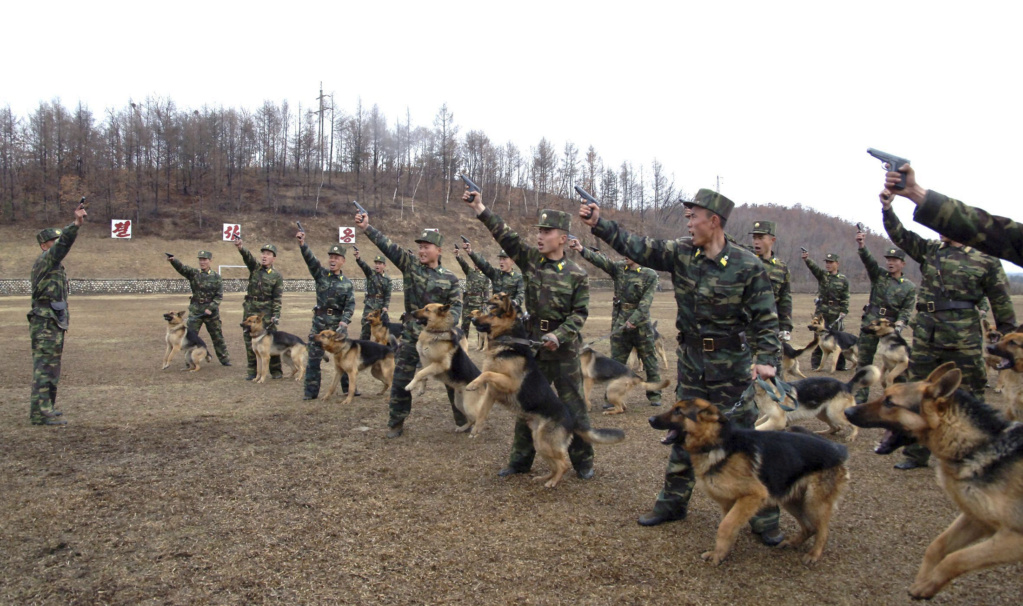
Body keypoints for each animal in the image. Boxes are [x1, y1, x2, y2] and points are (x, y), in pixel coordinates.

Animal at [466, 292, 621, 487]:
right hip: (539, 443)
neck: (509, 341)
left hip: (545, 442)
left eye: (492, 314)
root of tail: (572, 422)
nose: (471, 318)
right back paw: (545, 477)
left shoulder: (510, 382)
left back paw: (552, 482)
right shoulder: (492, 393)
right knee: (554, 464)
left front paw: (472, 384)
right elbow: (482, 411)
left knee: (563, 464)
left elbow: (487, 373)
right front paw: (476, 430)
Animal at [650, 399, 851, 565]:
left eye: (678, 411)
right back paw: (792, 543)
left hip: (814, 503)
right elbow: (729, 527)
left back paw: (814, 554)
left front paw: (718, 555)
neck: (715, 444)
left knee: (823, 531)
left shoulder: (753, 495)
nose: (650, 419)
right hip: (792, 500)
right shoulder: (729, 502)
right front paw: (722, 553)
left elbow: (725, 526)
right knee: (810, 527)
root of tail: (838, 450)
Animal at [842, 362, 1023, 597]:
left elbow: (956, 558)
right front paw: (923, 582)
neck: (979, 446)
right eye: (884, 395)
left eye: (889, 402)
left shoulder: (1013, 537)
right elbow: (937, 546)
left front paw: (928, 585)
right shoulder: (976, 518)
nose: (847, 410)